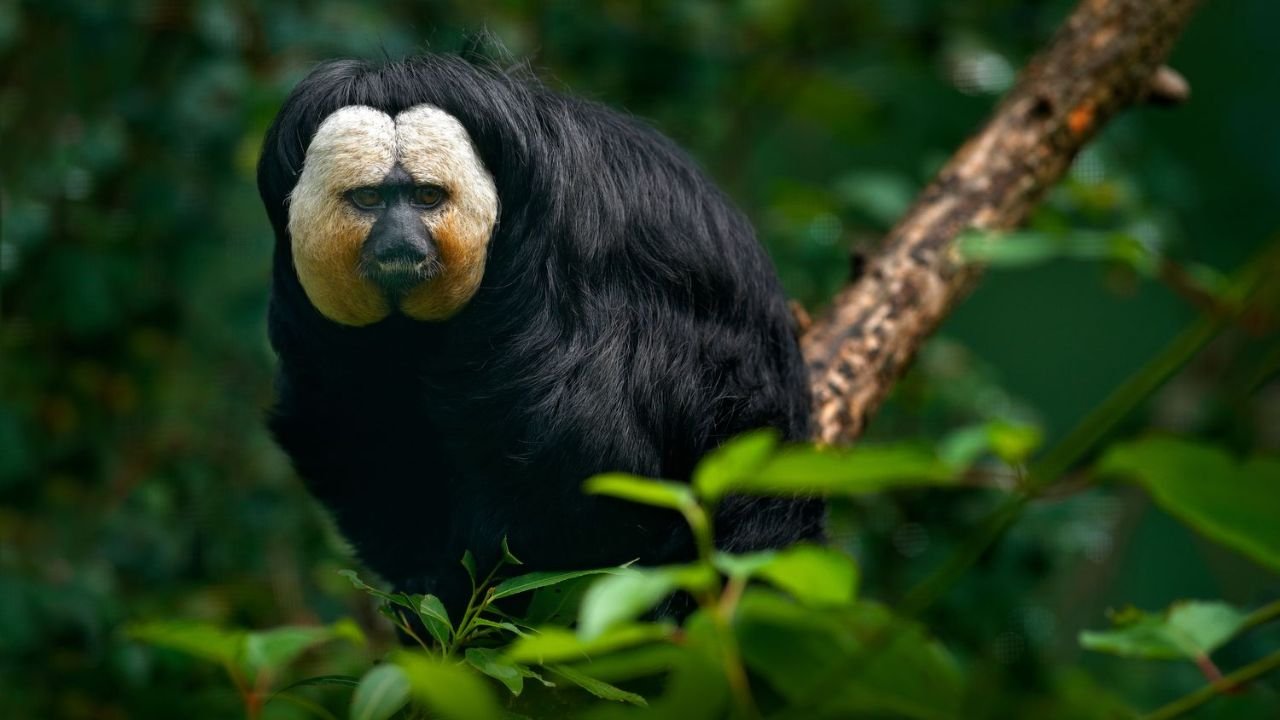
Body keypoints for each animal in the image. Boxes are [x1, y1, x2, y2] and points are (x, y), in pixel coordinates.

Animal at [258, 54, 823, 615]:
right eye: (370, 198)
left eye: (426, 197)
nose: (401, 243)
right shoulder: (309, 312)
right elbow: (356, 425)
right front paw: (424, 580)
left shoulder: (563, 256)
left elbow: (588, 456)